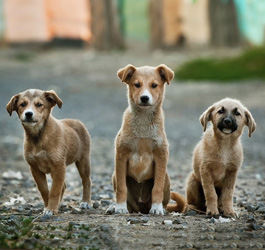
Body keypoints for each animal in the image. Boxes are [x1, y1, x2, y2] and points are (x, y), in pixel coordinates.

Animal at [111, 63, 184, 214]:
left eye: (154, 85)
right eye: (137, 84)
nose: (144, 98)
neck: (143, 121)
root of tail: (141, 208)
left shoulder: (161, 155)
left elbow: (157, 187)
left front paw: (156, 208)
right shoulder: (121, 155)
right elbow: (121, 187)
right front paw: (120, 207)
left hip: (166, 178)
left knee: (163, 199)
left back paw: (160, 208)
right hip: (114, 175)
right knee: (130, 203)